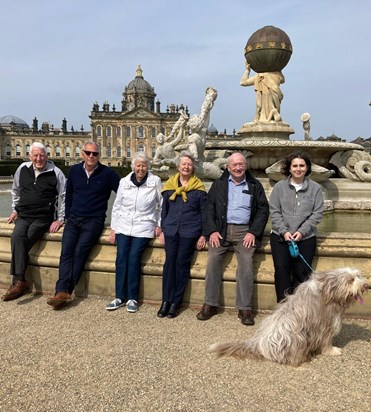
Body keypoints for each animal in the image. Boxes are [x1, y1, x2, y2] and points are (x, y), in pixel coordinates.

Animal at [209, 268, 370, 366]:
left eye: (358, 276)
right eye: (350, 280)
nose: (366, 286)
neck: (327, 292)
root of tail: (259, 344)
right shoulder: (324, 324)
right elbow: (326, 341)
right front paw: (332, 351)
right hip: (297, 336)